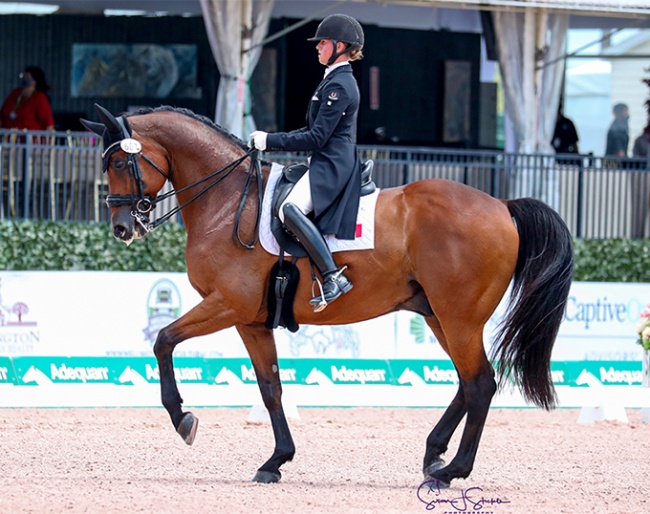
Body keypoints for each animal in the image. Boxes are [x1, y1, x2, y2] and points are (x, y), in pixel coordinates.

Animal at [81, 104, 572, 484]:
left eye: (120, 164)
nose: (122, 228)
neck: (227, 200)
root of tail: (502, 206)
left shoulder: (228, 304)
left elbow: (163, 340)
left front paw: (183, 419)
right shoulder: (251, 319)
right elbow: (271, 387)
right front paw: (276, 462)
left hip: (459, 317)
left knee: (480, 383)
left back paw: (452, 471)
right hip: (439, 315)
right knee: (467, 383)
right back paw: (435, 454)